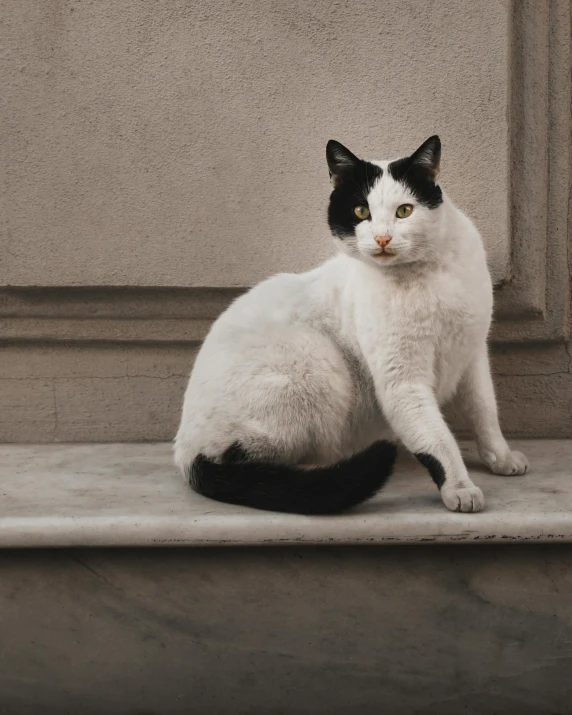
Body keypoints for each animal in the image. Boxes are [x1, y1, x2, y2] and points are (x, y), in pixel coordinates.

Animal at [173, 134, 528, 516]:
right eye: (361, 212)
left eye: (404, 211)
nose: (383, 238)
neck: (427, 277)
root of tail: (185, 454)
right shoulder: (403, 380)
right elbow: (437, 439)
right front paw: (460, 487)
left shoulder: (472, 357)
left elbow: (484, 411)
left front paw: (501, 457)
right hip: (317, 362)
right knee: (251, 459)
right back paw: (324, 467)